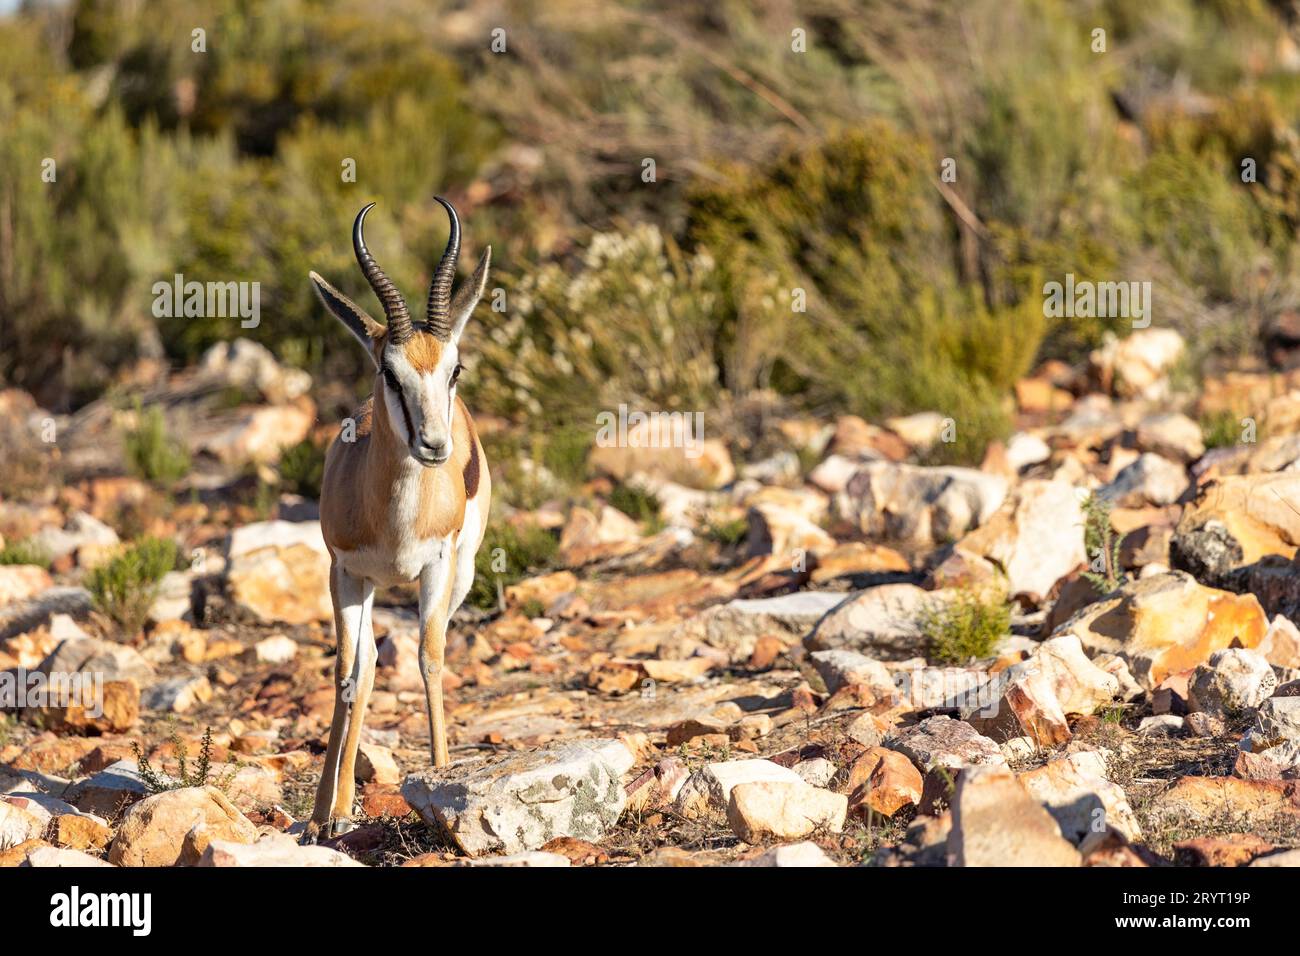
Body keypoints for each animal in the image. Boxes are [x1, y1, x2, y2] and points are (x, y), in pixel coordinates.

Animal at [302, 198, 491, 841]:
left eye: (454, 369)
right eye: (390, 372)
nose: (434, 445)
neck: (395, 521)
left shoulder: (436, 567)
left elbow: (430, 660)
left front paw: (443, 781)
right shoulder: (345, 574)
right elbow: (347, 674)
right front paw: (324, 817)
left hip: (462, 573)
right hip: (368, 589)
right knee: (364, 668)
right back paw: (333, 810)